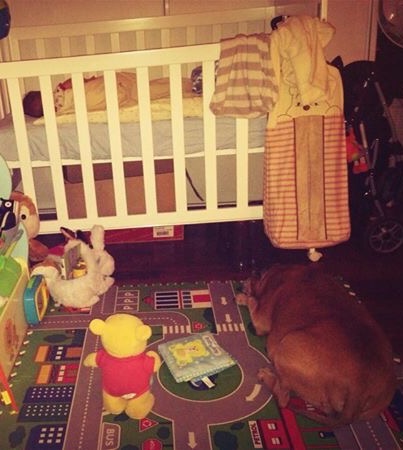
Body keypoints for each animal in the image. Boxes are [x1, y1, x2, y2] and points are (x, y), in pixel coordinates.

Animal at [236, 264, 396, 427]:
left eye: (247, 281)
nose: (239, 286)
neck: (276, 273)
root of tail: (358, 388)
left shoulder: (261, 319)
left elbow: (252, 301)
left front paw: (242, 298)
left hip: (287, 345)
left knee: (283, 398)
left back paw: (266, 376)